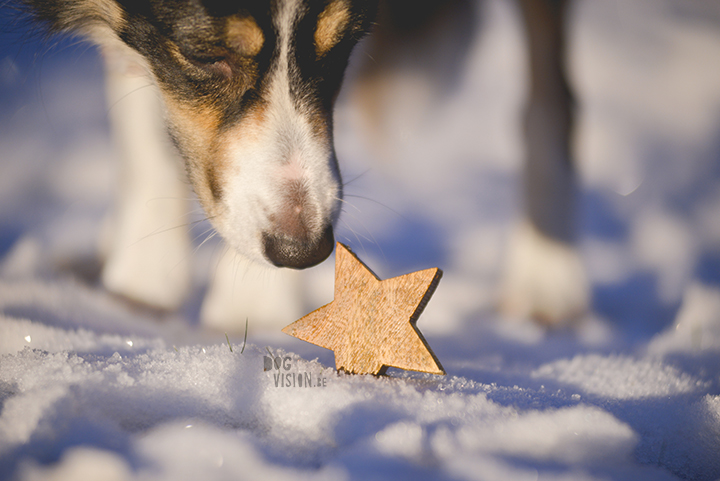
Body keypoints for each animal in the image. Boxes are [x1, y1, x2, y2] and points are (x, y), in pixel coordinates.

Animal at [19, 0, 588, 326]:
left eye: (344, 43)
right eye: (203, 55)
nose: (304, 251)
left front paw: (251, 307)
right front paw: (141, 282)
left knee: (553, 96)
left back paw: (547, 278)